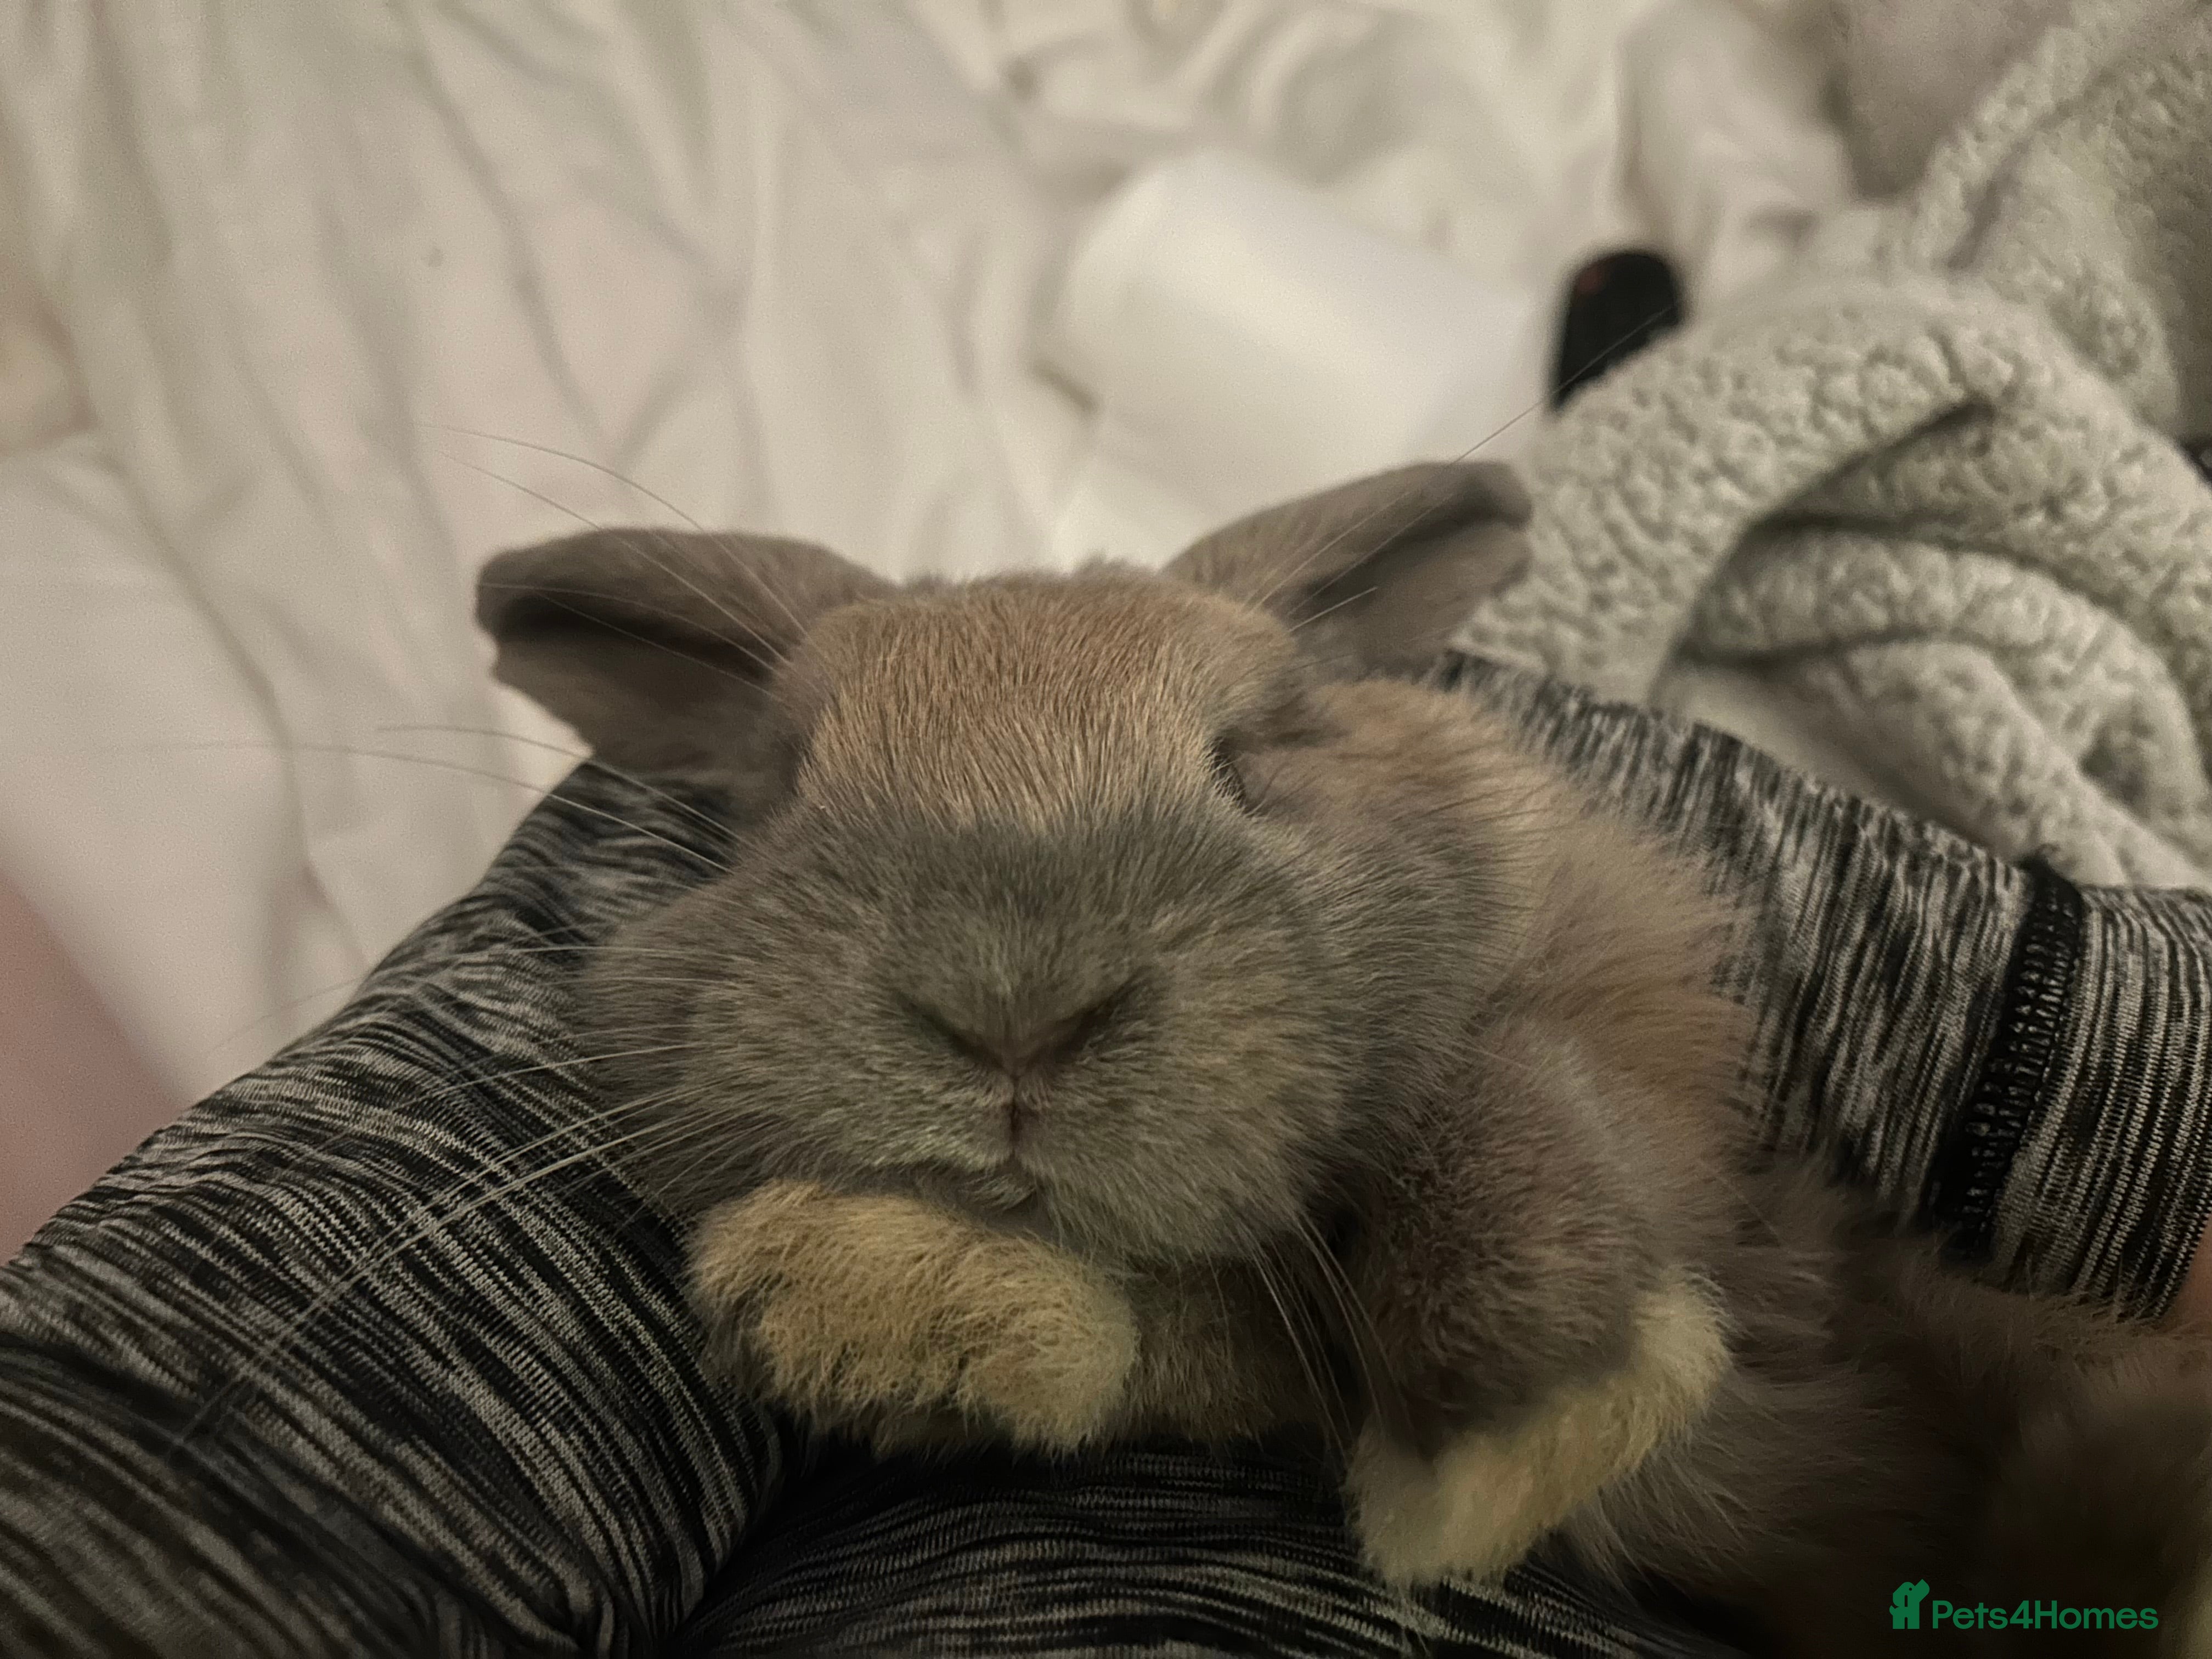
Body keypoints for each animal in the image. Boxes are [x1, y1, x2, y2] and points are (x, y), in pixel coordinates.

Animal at [476, 462, 2212, 1657]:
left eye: (1252, 757)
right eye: (783, 789)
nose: (1012, 1008)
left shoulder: (1652, 1060)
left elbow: (1506, 1084)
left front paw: (1522, 1420)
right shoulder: (1249, 1345)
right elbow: (1154, 1345)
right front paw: (867, 1302)